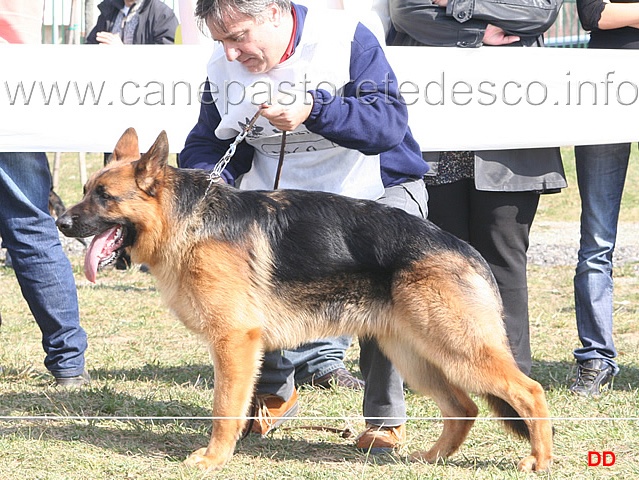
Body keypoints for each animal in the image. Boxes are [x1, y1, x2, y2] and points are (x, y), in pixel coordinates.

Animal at [57, 127, 552, 472]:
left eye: (104, 197)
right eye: (85, 191)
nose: (61, 223)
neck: (189, 220)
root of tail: (465, 250)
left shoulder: (234, 342)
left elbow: (223, 408)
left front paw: (214, 459)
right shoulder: (245, 347)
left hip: (458, 350)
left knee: (529, 391)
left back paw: (539, 460)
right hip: (419, 356)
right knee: (464, 408)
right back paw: (432, 459)